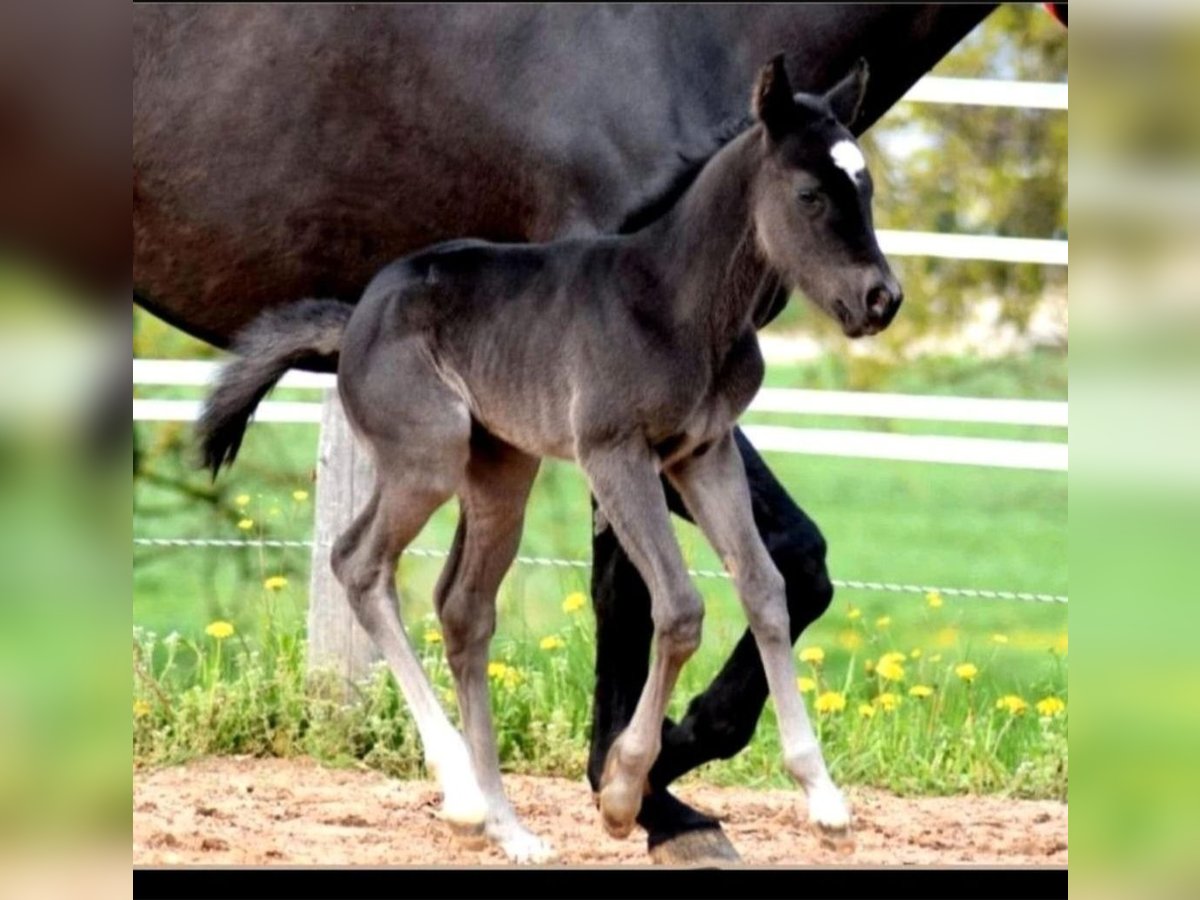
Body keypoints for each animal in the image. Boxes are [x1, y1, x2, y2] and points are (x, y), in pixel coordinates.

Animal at [129, 5, 1060, 868]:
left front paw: (819, 798)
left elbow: (767, 582)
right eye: (809, 195)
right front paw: (629, 789)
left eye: (865, 191)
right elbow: (669, 604)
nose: (880, 299)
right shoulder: (616, 455)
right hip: (427, 461)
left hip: (499, 473)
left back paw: (511, 827)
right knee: (361, 564)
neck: (675, 296)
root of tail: (354, 316)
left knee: (464, 609)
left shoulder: (702, 453)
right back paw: (464, 796)